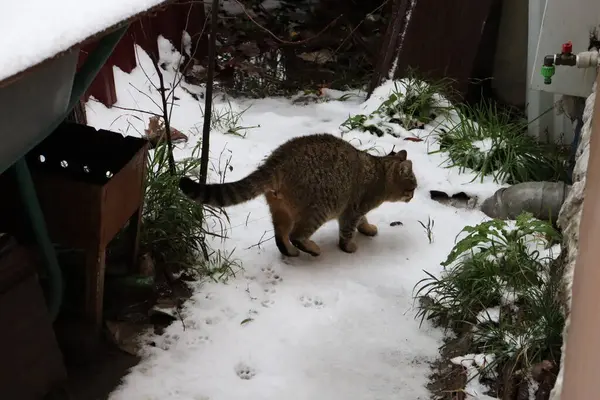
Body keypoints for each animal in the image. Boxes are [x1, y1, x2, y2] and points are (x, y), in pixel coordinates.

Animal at [179, 132, 418, 256]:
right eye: (414, 186)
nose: (414, 196)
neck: (380, 171)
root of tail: (276, 161)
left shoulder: (357, 209)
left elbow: (363, 221)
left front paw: (367, 228)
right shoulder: (352, 209)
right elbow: (347, 231)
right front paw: (348, 246)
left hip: (280, 209)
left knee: (281, 236)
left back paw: (290, 252)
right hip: (319, 209)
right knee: (296, 235)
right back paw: (312, 249)